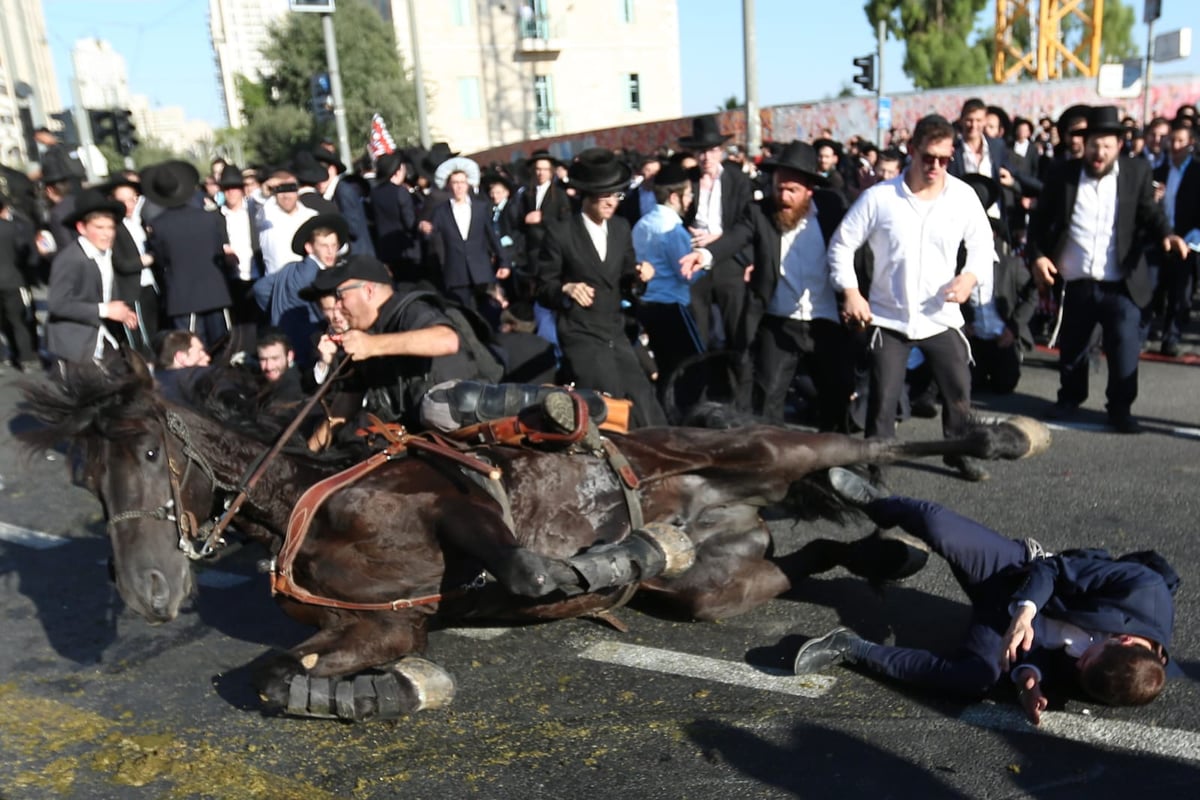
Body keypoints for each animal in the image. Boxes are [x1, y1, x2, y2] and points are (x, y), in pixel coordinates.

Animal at [18, 352, 1051, 724]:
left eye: (149, 449)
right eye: (83, 477)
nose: (150, 596)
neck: (310, 497)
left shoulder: (454, 506)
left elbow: (527, 572)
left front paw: (623, 552)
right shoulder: (382, 622)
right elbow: (274, 679)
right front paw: (384, 694)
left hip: (760, 448)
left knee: (861, 444)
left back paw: (1001, 438)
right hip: (720, 584)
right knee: (788, 563)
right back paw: (873, 551)